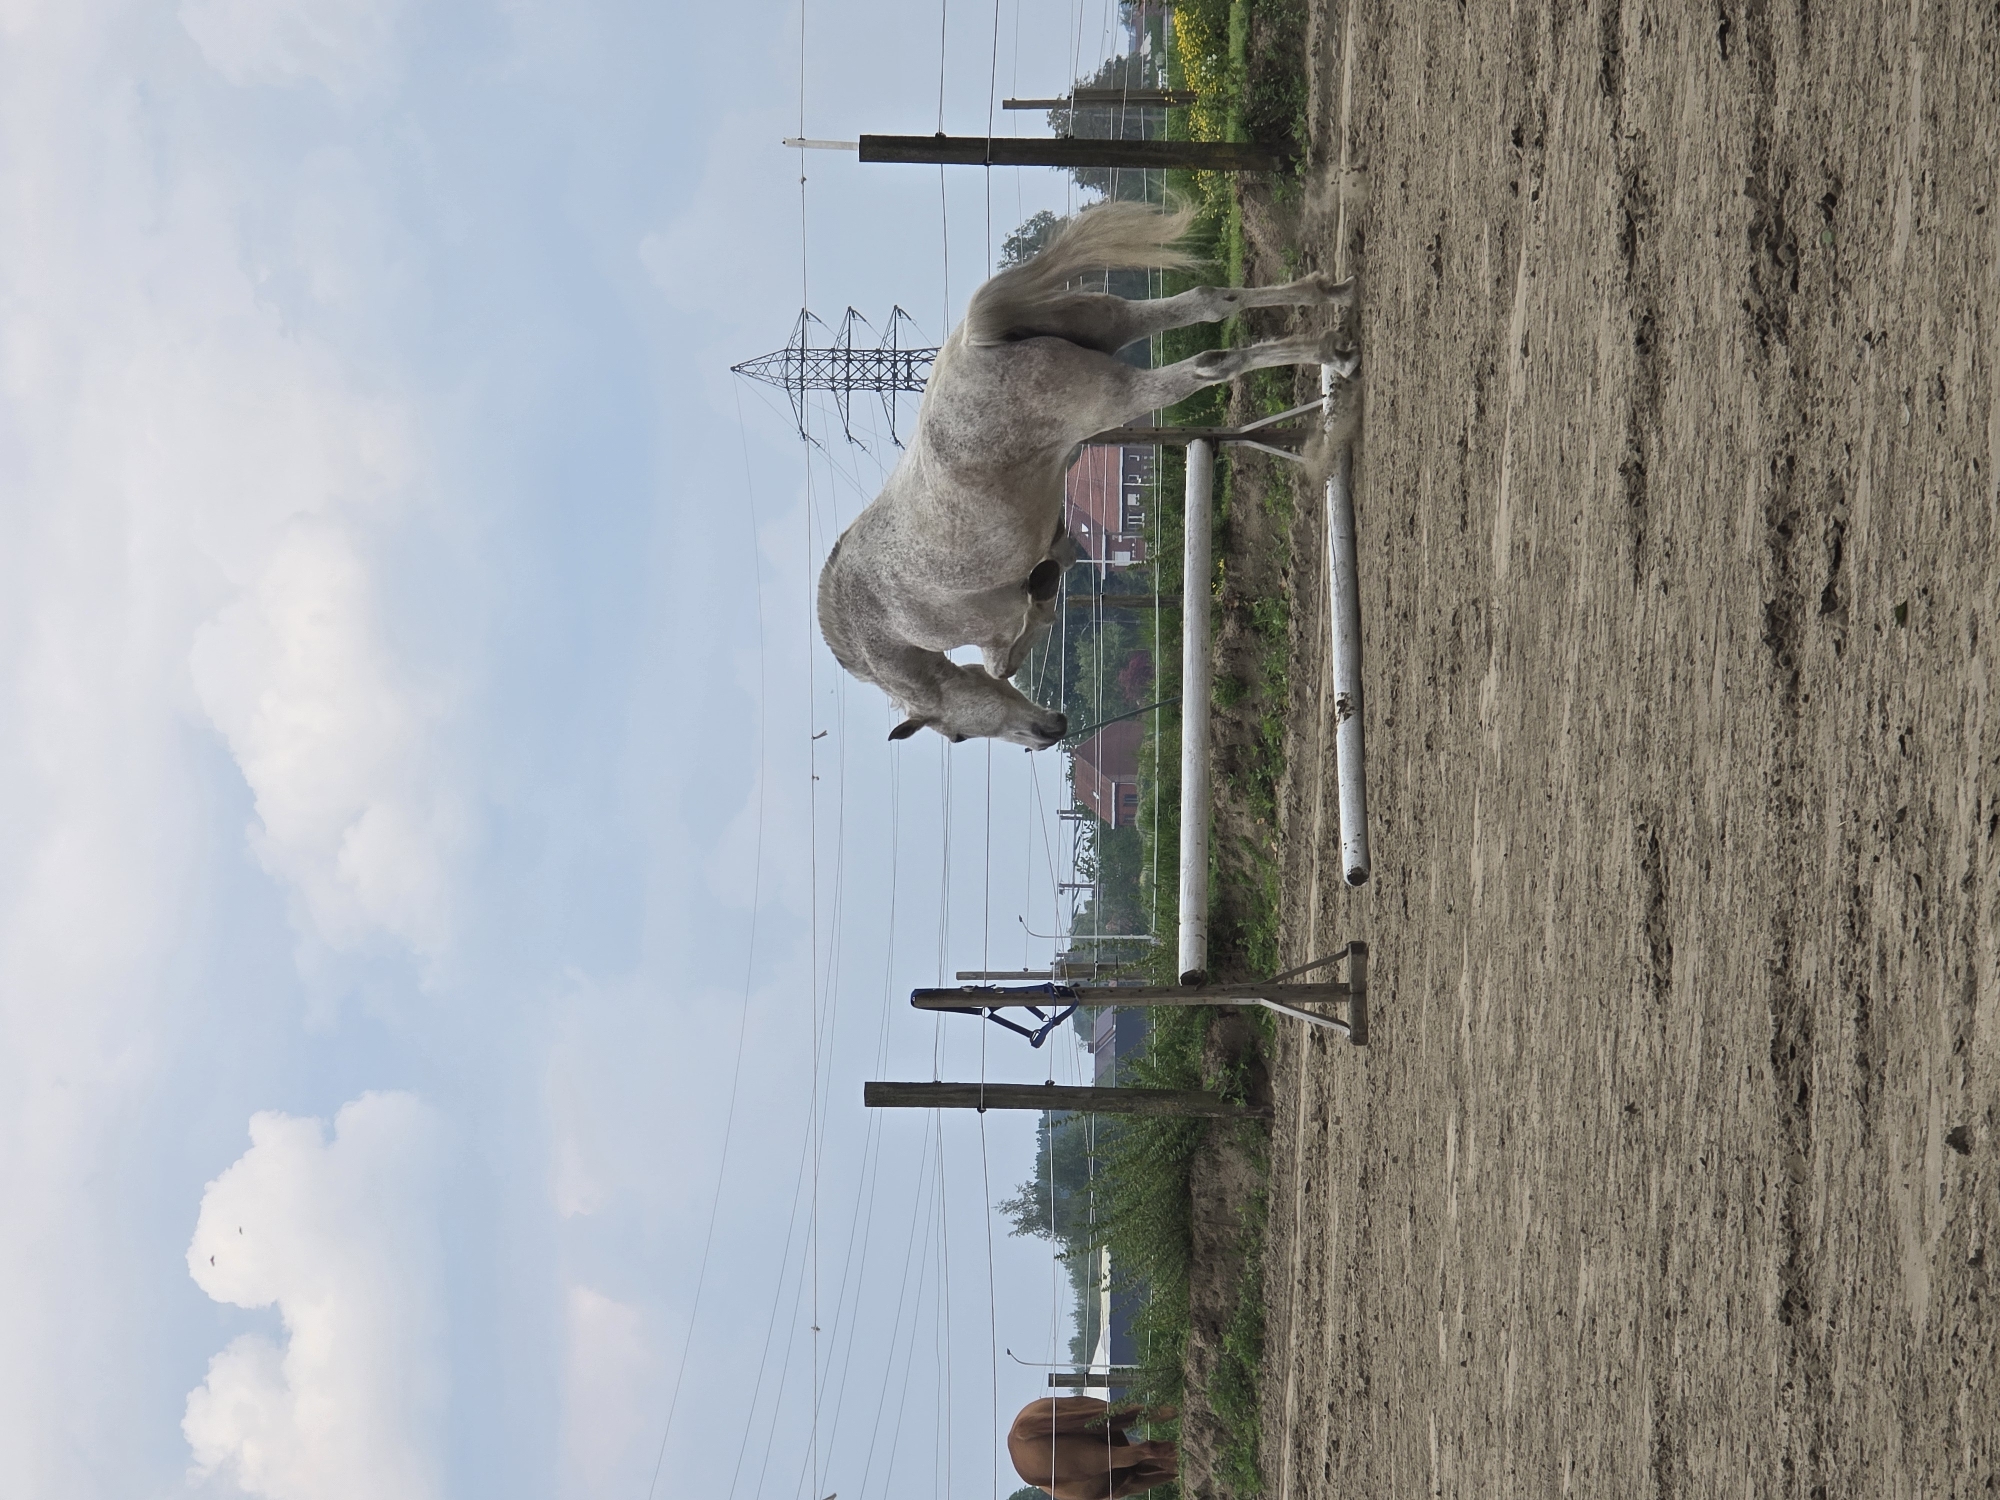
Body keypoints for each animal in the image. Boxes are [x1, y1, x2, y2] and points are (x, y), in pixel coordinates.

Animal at [816, 201, 1358, 748]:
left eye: (957, 737)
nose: (1047, 733)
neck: (884, 618)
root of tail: (976, 341)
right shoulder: (1062, 548)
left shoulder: (1006, 626)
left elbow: (1005, 656)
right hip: (1114, 322)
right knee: (1209, 302)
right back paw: (1331, 297)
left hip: (1118, 395)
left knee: (1210, 366)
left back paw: (1334, 353)